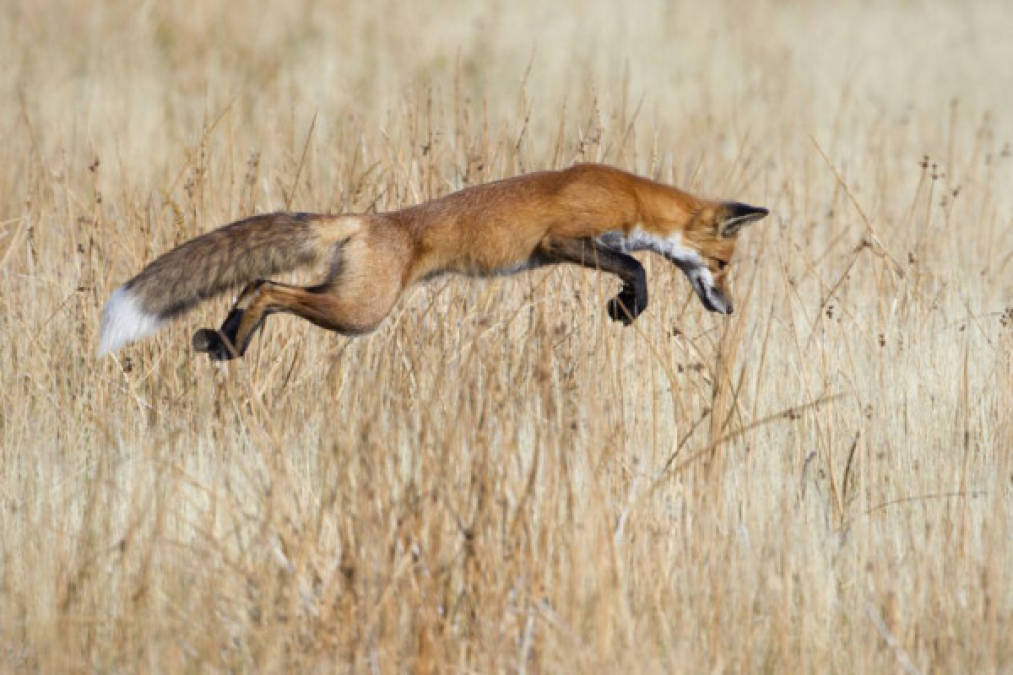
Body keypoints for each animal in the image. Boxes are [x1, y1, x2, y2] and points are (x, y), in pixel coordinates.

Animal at [100, 163, 765, 360]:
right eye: (724, 264)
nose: (731, 309)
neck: (630, 195)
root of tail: (369, 219)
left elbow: (633, 266)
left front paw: (626, 307)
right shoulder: (559, 240)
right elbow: (638, 268)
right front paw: (628, 307)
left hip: (346, 299)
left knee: (255, 283)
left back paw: (226, 343)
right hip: (359, 312)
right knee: (266, 287)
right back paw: (232, 344)